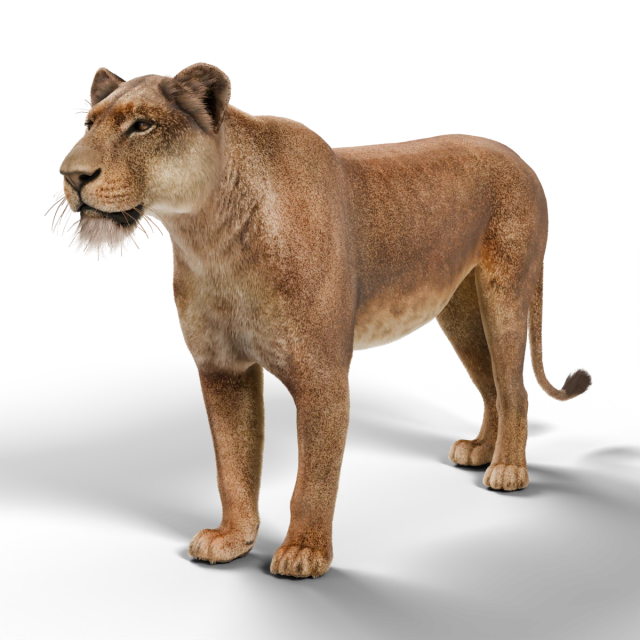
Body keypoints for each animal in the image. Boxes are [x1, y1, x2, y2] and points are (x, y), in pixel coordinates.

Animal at [51, 62, 593, 578]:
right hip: (458, 311)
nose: (71, 176)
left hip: (505, 294)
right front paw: (233, 538)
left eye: (141, 125)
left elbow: (313, 474)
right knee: (491, 384)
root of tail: (521, 160)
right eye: (89, 124)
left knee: (515, 388)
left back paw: (506, 468)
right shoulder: (222, 368)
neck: (210, 238)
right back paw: (481, 449)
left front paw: (303, 552)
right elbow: (233, 463)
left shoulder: (321, 376)